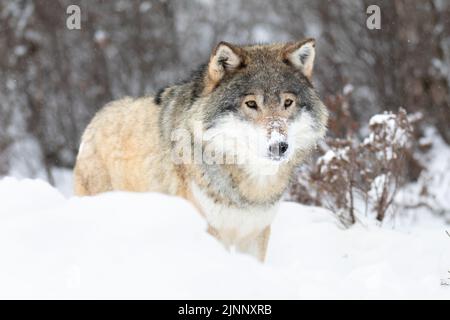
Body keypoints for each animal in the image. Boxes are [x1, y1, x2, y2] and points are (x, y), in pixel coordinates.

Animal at [73, 38, 326, 262]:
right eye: (251, 104)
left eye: (287, 103)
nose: (279, 146)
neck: (250, 187)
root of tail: (95, 119)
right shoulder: (210, 231)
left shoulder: (256, 233)